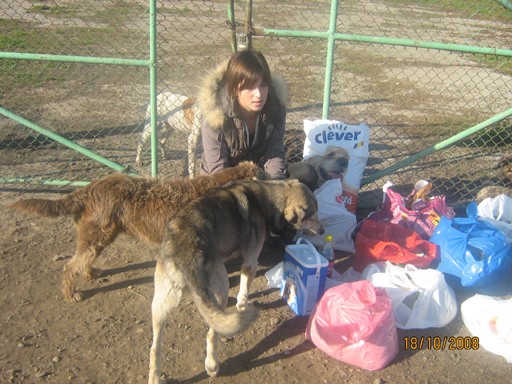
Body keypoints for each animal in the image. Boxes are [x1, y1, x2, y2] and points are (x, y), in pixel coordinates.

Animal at [11, 162, 268, 304]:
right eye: (261, 173)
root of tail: (88, 189)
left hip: (99, 237)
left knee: (81, 261)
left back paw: (90, 273)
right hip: (97, 236)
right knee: (69, 266)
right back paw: (70, 294)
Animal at [149, 178, 324, 382]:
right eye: (312, 216)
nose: (323, 230)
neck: (264, 197)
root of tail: (185, 255)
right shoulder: (250, 262)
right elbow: (244, 289)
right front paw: (242, 304)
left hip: (160, 305)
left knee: (154, 348)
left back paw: (155, 378)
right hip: (221, 289)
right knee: (212, 334)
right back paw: (212, 365)